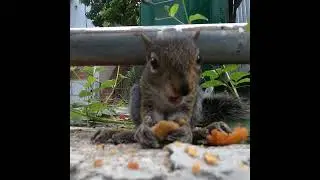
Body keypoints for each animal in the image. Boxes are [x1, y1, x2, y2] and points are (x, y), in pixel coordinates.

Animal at [91, 29, 249, 148]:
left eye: (198, 59)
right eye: (153, 62)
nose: (184, 89)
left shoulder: (190, 98)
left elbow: (183, 115)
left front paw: (184, 131)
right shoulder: (147, 93)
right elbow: (149, 113)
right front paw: (144, 131)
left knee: (194, 127)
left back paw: (208, 130)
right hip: (135, 95)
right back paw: (119, 134)